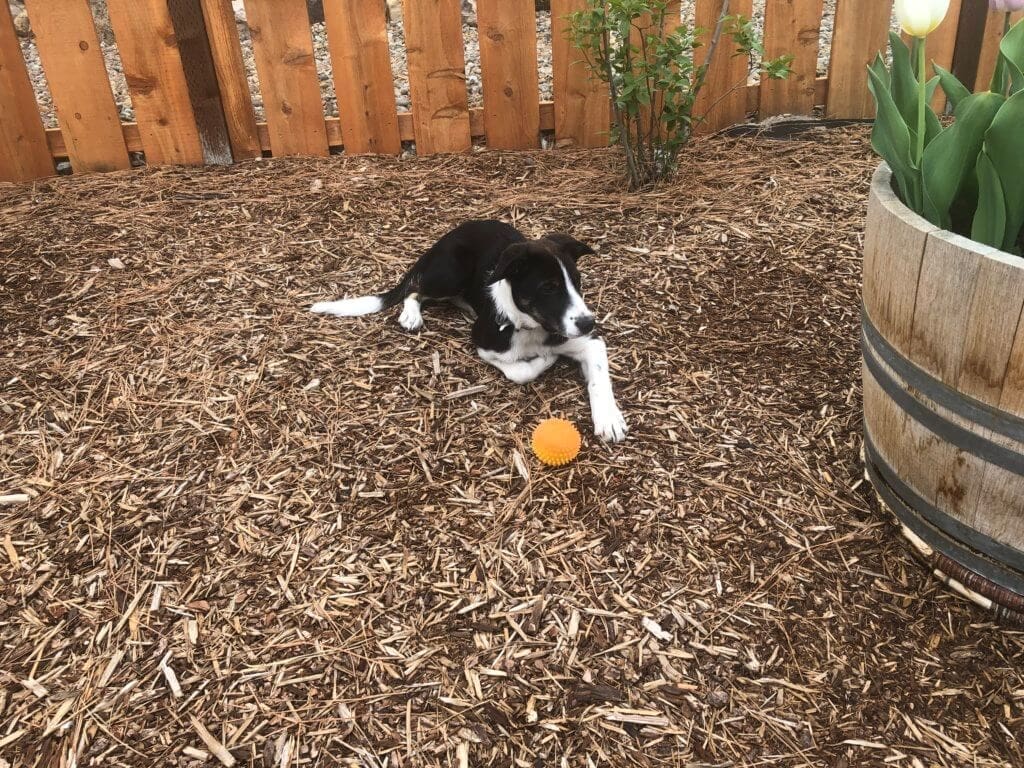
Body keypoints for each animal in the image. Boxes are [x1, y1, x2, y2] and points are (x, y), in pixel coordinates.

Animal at [307, 219, 626, 442]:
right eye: (548, 287)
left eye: (578, 282)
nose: (589, 322)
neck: (531, 325)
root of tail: (447, 237)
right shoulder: (484, 344)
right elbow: (520, 370)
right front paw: (545, 359)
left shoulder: (589, 342)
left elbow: (599, 377)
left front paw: (609, 418)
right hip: (450, 273)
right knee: (415, 289)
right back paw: (411, 315)